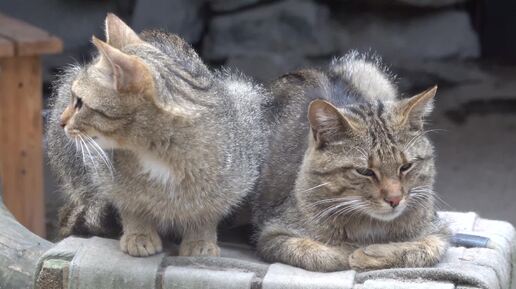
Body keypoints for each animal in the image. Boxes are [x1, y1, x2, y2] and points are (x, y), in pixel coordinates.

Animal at [47, 14, 270, 255]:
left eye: (80, 103)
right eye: (74, 99)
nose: (61, 121)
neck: (159, 153)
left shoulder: (234, 180)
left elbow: (207, 212)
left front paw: (200, 240)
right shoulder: (113, 184)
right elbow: (131, 206)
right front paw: (139, 234)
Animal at [253, 53, 448, 272]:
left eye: (406, 166)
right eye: (365, 171)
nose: (395, 199)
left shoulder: (438, 232)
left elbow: (421, 249)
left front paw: (369, 253)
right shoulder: (272, 233)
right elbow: (319, 253)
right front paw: (350, 251)